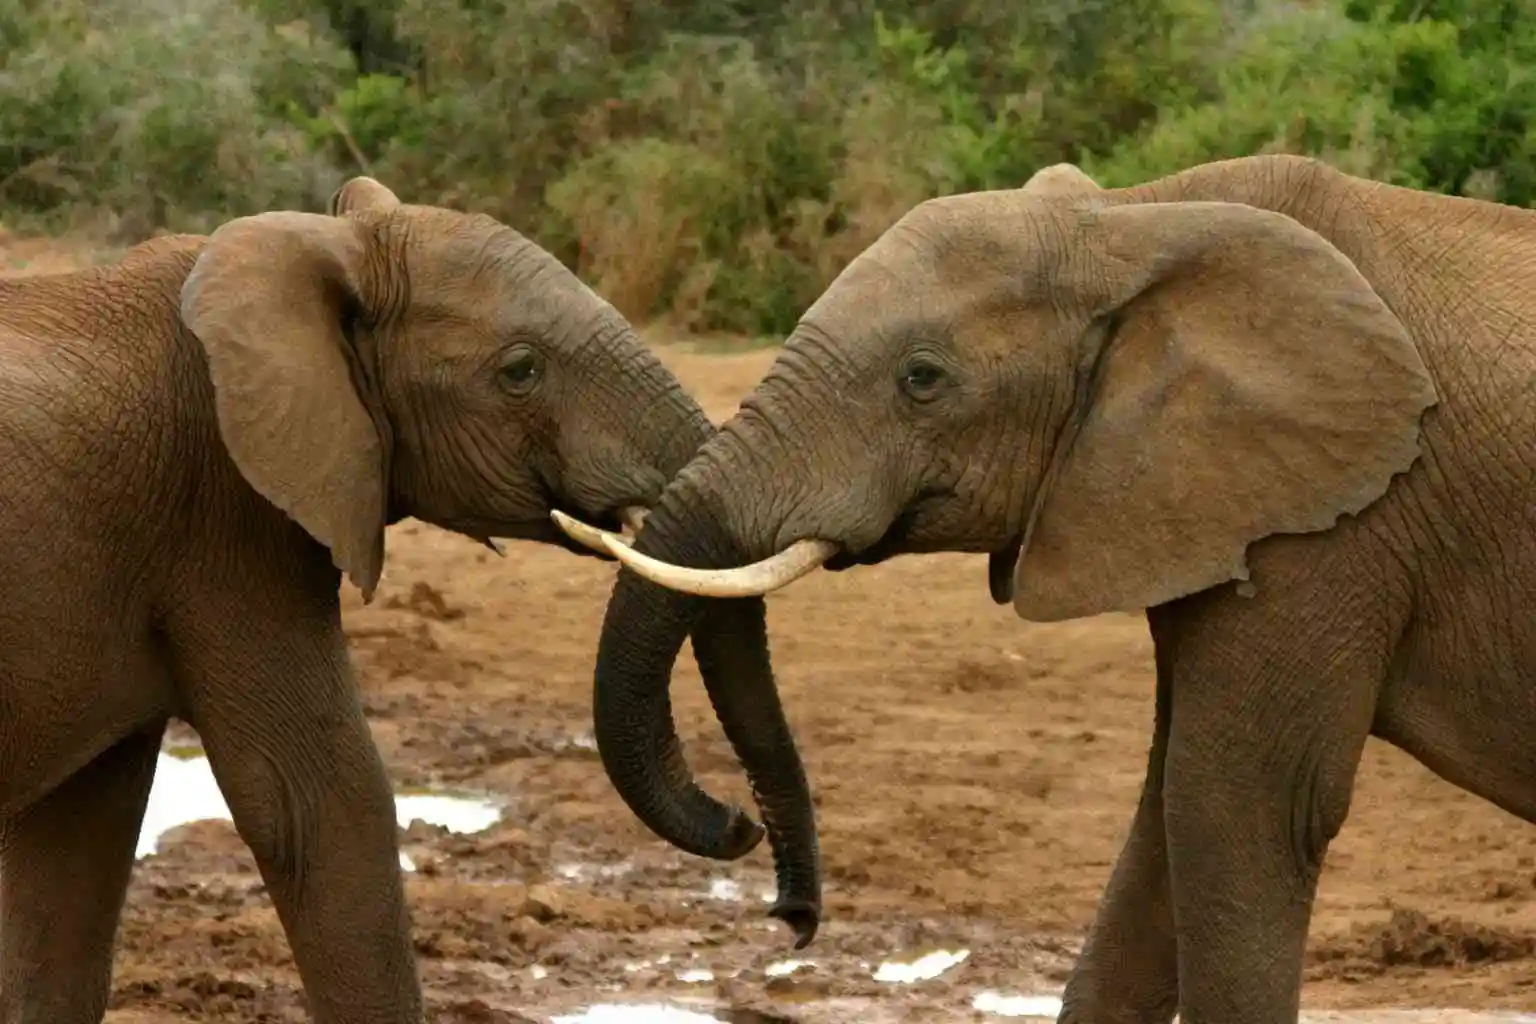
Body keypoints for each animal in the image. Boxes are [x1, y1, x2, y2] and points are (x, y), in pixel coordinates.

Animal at [0, 178, 804, 1024]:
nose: (742, 825)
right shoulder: (230, 518)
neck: (316, 248)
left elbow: (78, 839)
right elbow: (320, 807)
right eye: (520, 371)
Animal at [556, 151, 1536, 1024]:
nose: (783, 905)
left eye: (922, 379)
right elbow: (1167, 816)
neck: (1133, 222)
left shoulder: (1334, 524)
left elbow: (1240, 810)